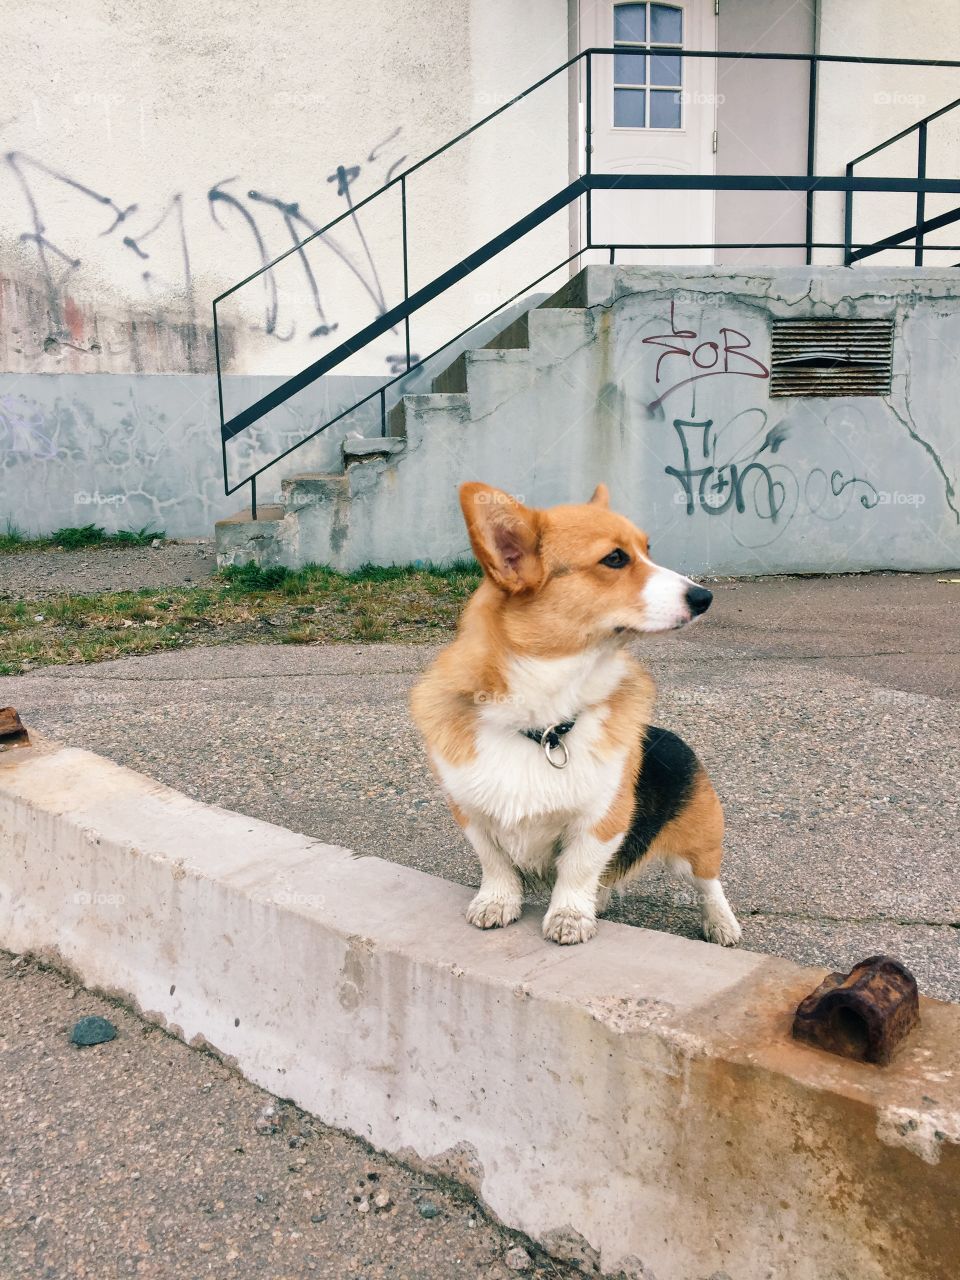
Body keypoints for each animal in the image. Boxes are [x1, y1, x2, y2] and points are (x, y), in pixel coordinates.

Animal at [414, 483, 742, 947]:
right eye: (616, 558)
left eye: (647, 550)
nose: (705, 597)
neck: (542, 725)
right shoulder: (471, 812)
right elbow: (495, 863)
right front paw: (497, 902)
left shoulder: (601, 820)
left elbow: (577, 870)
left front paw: (569, 916)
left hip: (699, 838)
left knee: (708, 881)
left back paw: (721, 923)